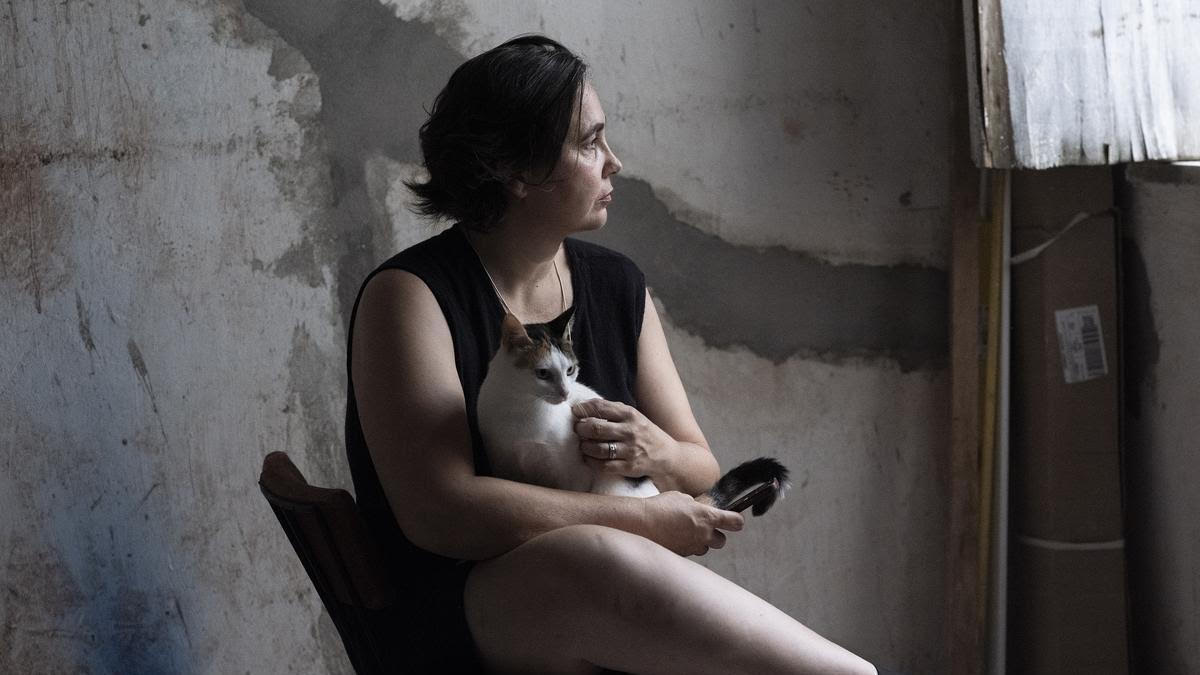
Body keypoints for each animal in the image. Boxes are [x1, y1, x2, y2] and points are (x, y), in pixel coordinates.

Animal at [476, 306, 789, 514]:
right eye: (542, 373)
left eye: (570, 370)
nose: (565, 393)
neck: (522, 407)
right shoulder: (504, 465)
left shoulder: (574, 475)